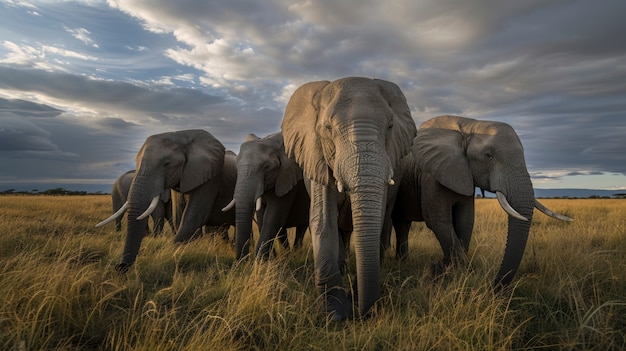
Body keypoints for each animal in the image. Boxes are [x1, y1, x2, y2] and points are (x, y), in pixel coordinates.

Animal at [97, 129, 236, 272]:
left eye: (167, 164)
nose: (119, 267)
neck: (182, 135)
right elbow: (176, 216)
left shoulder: (210, 179)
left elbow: (193, 217)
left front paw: (176, 253)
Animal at [222, 132, 310, 262]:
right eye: (236, 167)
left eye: (266, 167)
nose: (242, 261)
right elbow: (261, 218)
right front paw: (268, 260)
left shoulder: (287, 179)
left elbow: (272, 217)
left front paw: (261, 261)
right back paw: (287, 256)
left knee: (301, 228)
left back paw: (295, 255)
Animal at [280, 77, 416, 322]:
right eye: (328, 128)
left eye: (390, 127)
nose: (364, 313)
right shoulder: (317, 157)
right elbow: (323, 220)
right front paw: (334, 313)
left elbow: (377, 220)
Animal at [386, 115, 572, 288]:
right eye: (488, 156)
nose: (493, 286)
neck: (468, 126)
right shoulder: (431, 176)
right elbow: (439, 221)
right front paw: (442, 270)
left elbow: (465, 221)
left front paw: (448, 270)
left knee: (402, 224)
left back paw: (403, 262)